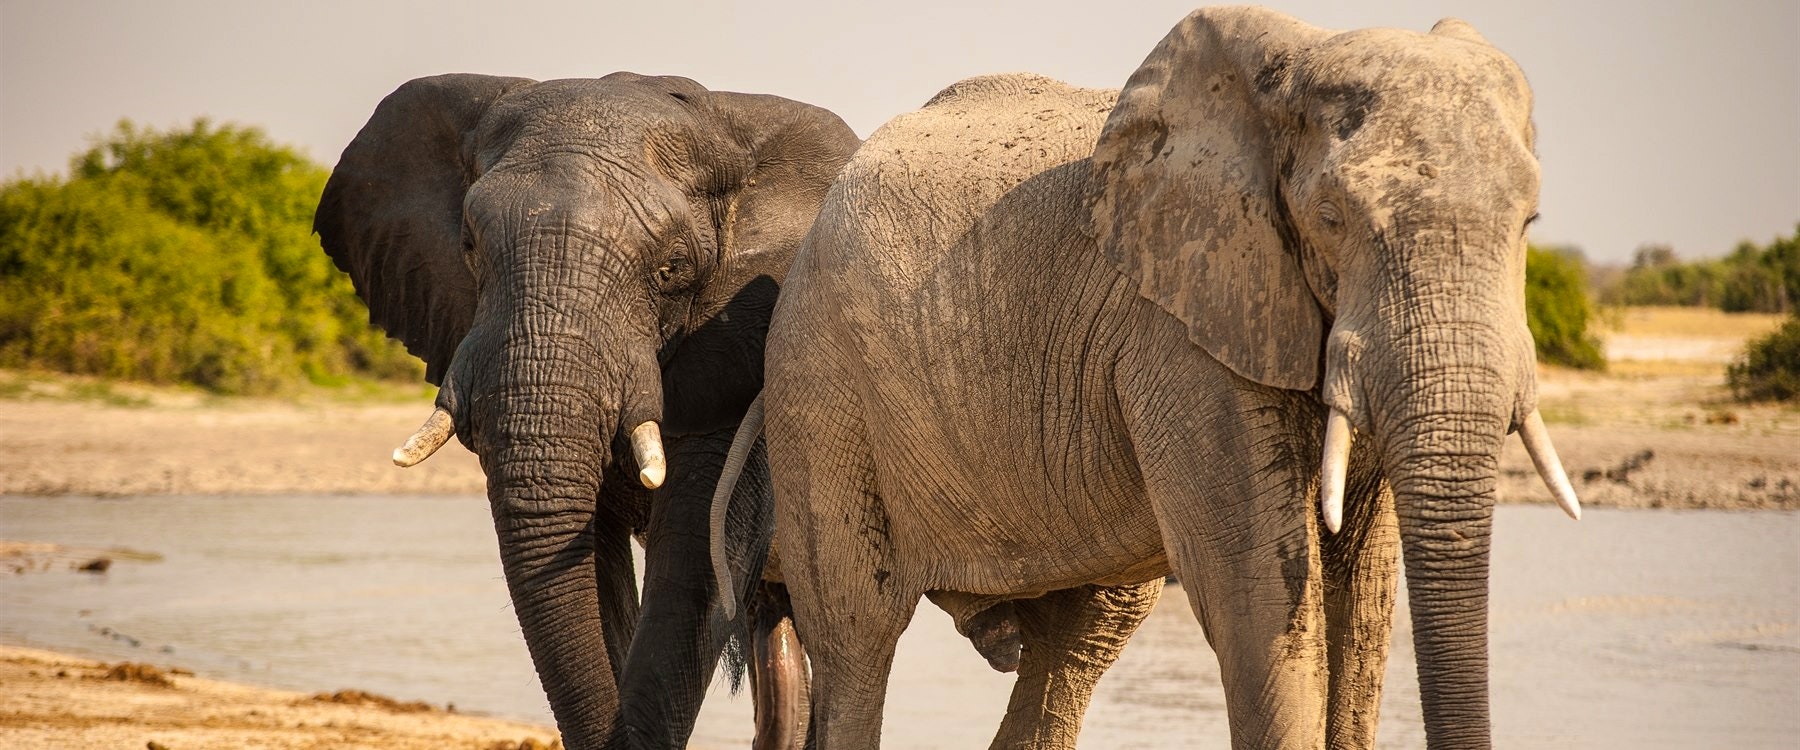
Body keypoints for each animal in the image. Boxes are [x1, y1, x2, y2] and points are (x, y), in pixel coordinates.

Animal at [715, 7, 1584, 748]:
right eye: (1334, 219)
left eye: (1529, 224)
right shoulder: (1179, 329)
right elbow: (1256, 586)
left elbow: (1365, 590)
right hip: (820, 390)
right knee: (857, 639)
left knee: (1075, 644)